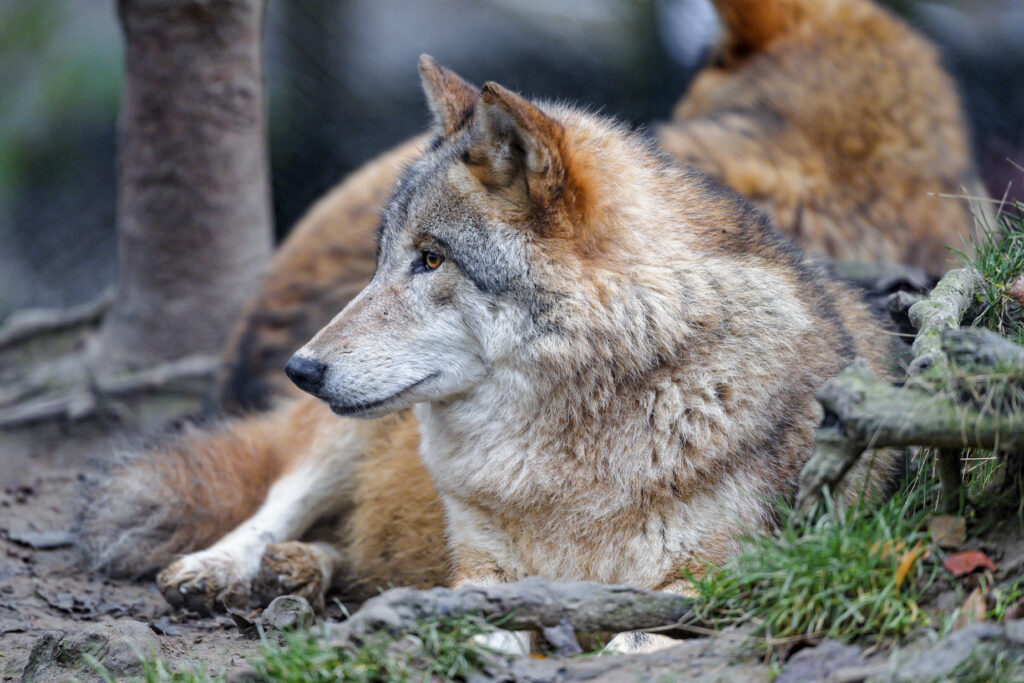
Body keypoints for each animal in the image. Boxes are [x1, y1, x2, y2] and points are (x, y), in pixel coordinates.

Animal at [80, 56, 898, 652]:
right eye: (383, 258)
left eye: (431, 259)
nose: (301, 370)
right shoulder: (485, 570)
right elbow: (477, 618)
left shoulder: (711, 583)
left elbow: (632, 639)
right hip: (346, 439)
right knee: (282, 499)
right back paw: (225, 569)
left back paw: (303, 574)